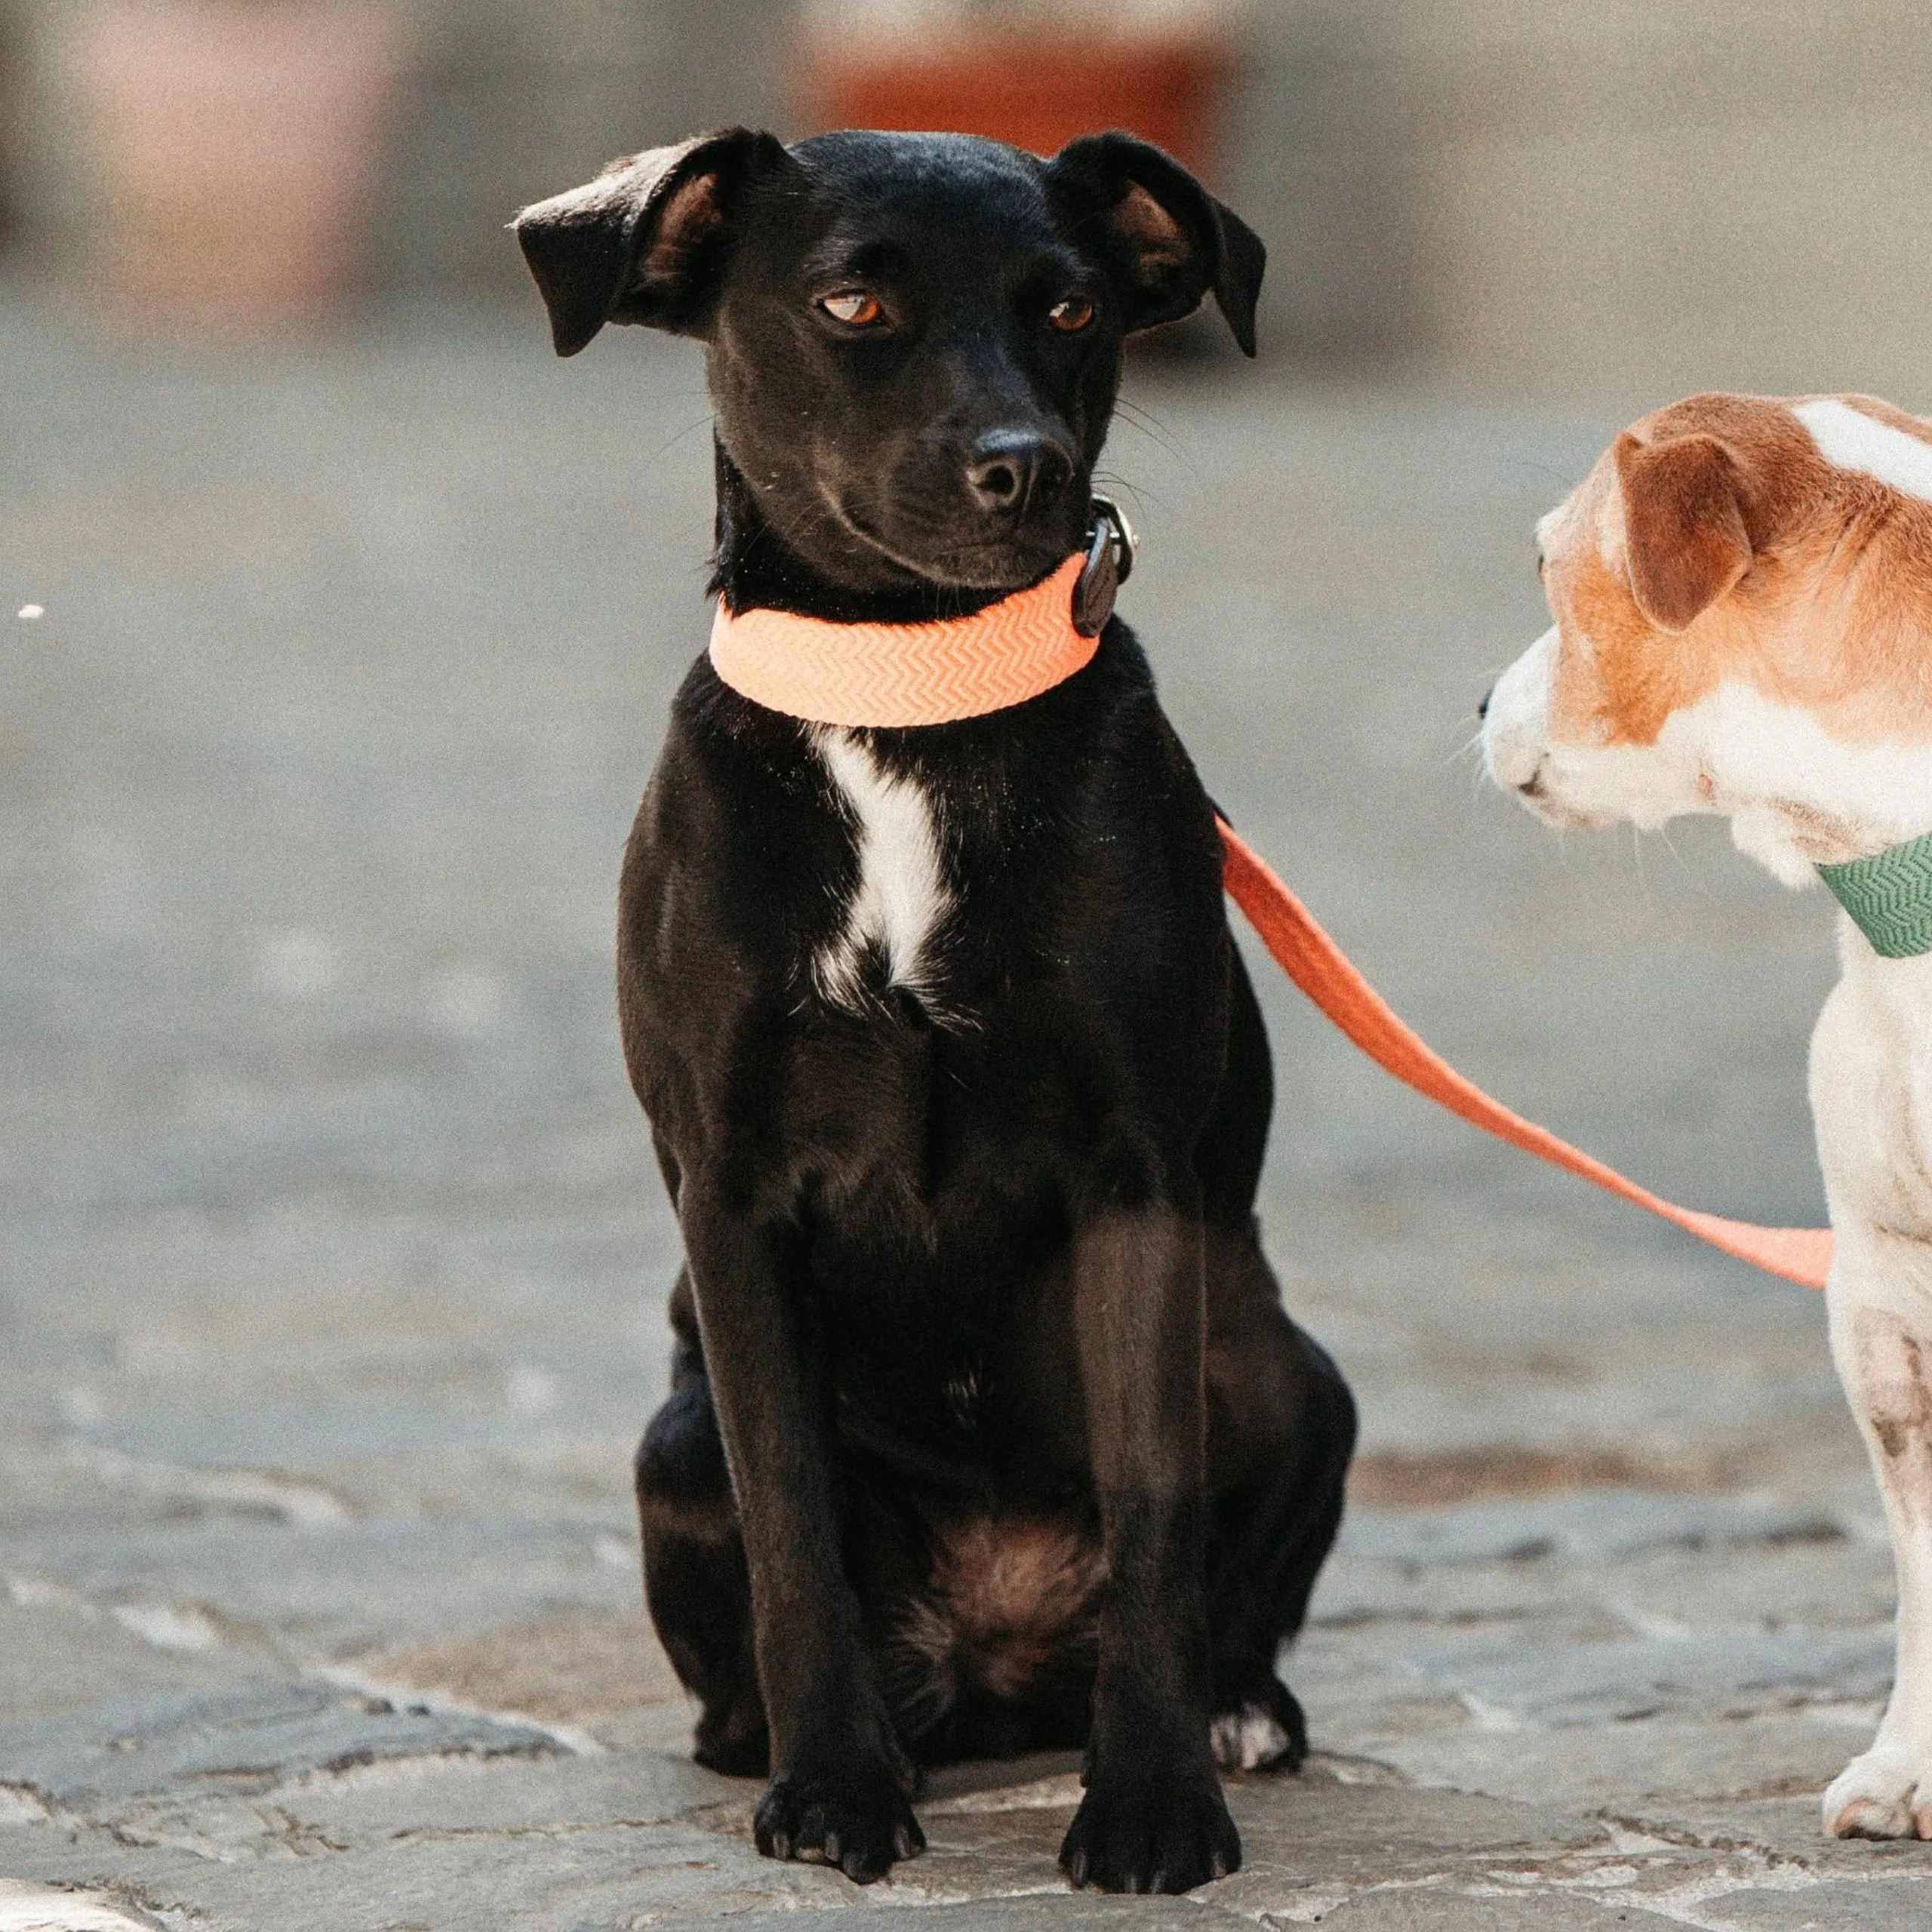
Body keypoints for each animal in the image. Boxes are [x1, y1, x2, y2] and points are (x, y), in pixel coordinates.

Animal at [518, 121, 1360, 1885]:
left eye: (1069, 306)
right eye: (851, 299)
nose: (1018, 465)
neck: (909, 697)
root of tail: (998, 1657)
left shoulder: (1133, 1180)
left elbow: (1157, 1512)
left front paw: (1152, 1801)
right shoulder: (733, 1196)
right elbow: (791, 1524)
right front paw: (835, 1786)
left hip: (1279, 1365)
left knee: (1216, 1577)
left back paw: (1239, 1714)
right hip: (669, 1437)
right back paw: (788, 1735)